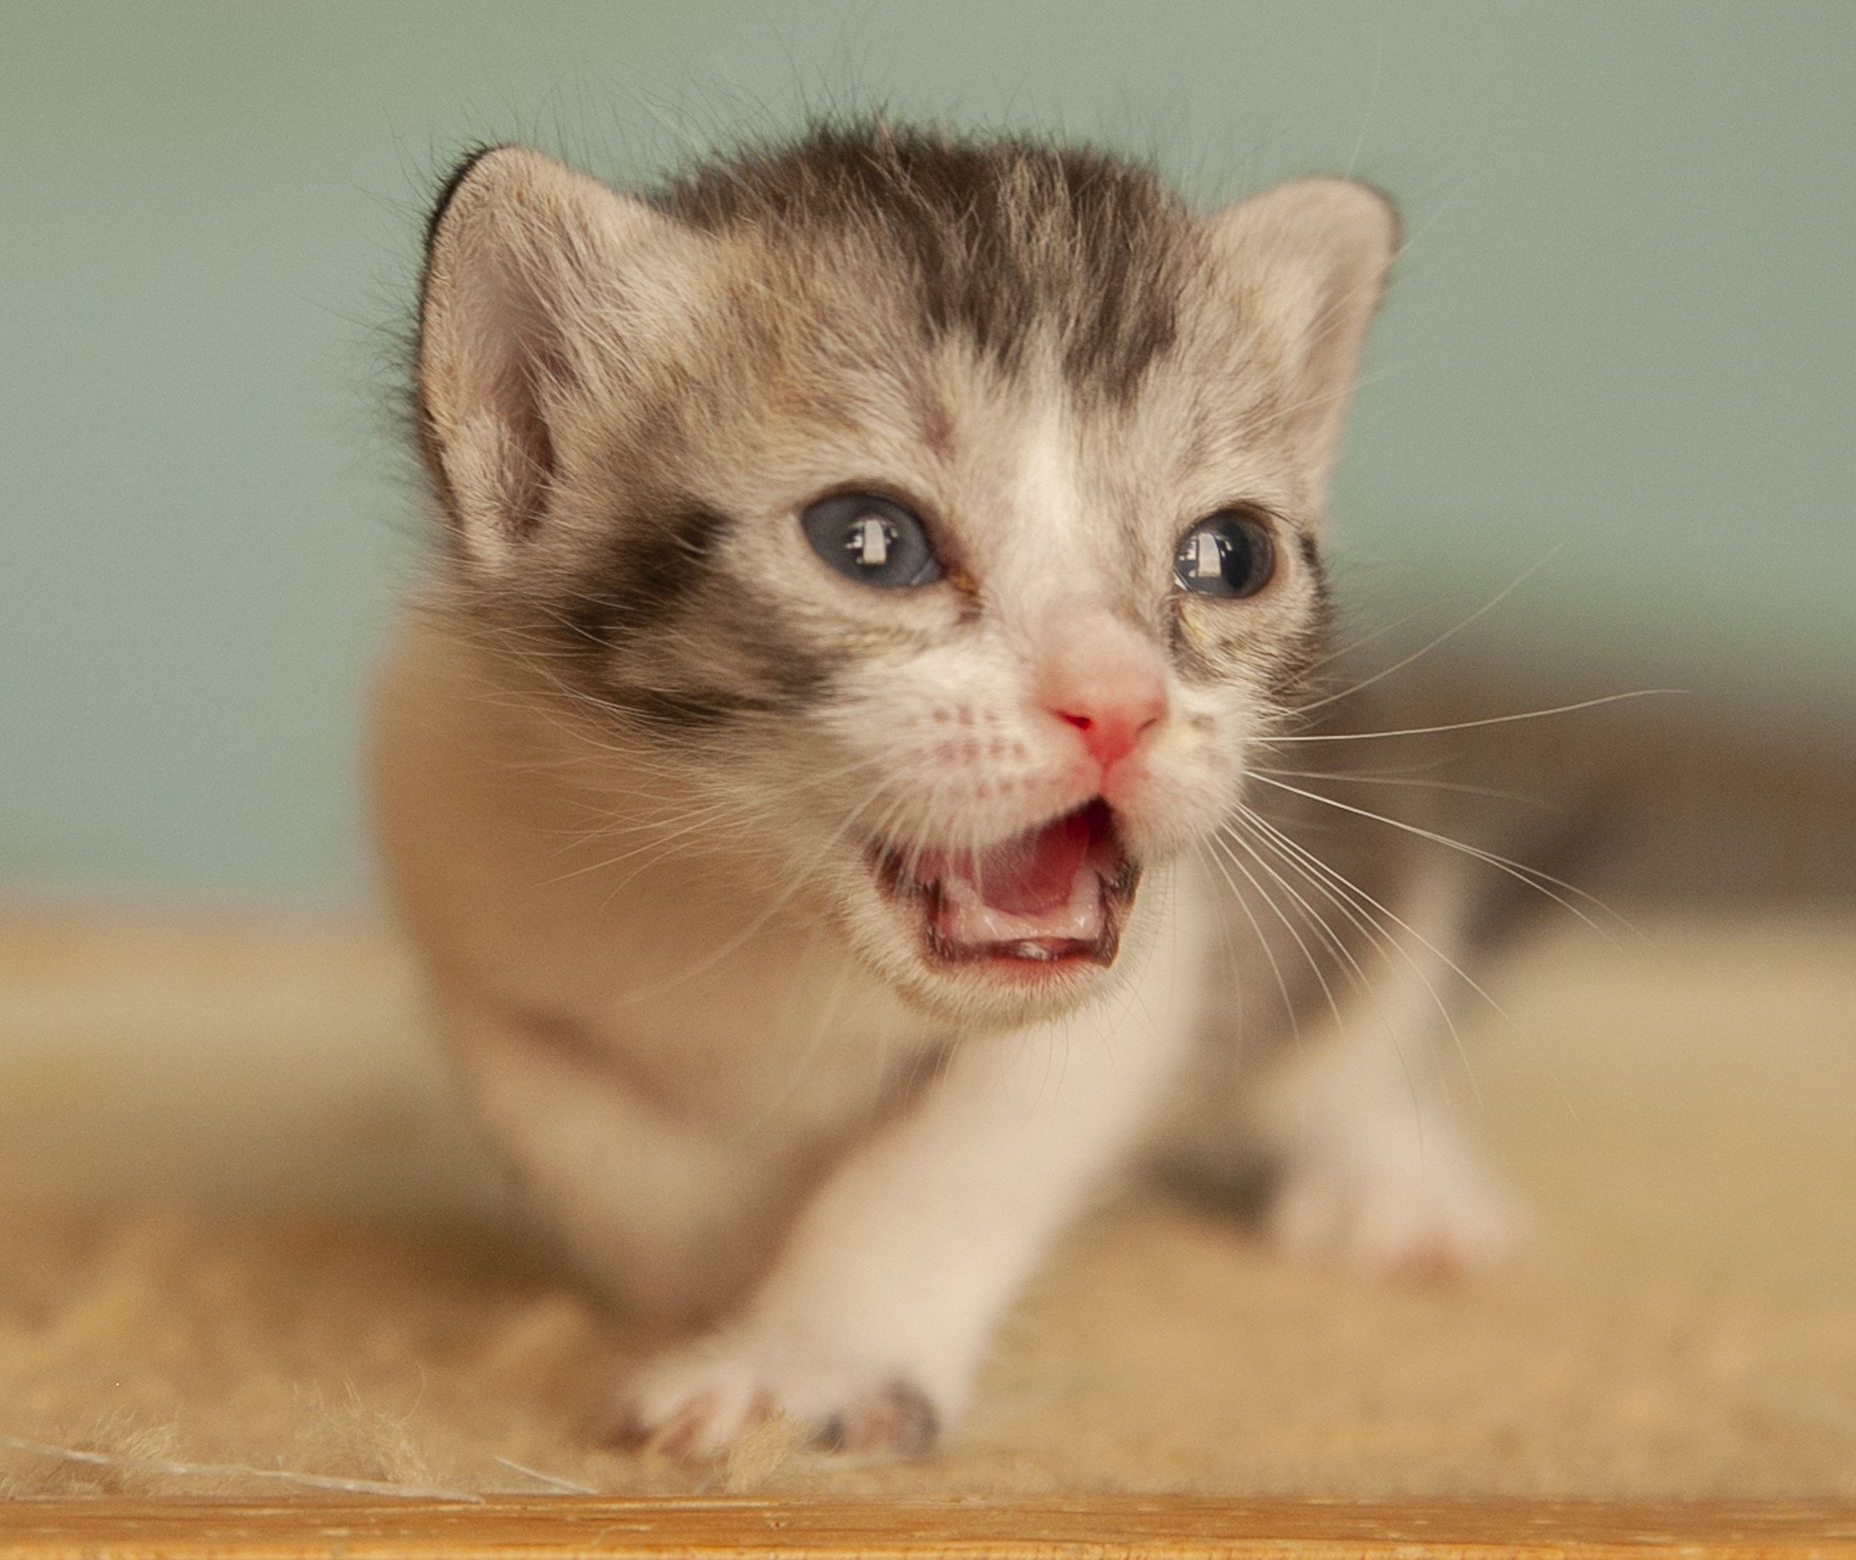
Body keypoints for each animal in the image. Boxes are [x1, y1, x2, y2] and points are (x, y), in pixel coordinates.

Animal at [369, 125, 1514, 1461]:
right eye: (869, 541)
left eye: (1227, 556)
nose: (1117, 704)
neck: (763, 923)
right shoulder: (454, 843)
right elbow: (577, 1128)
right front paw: (712, 1266)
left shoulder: (1147, 974)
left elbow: (947, 1167)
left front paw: (804, 1357)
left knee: (1359, 1023)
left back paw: (1392, 1185)